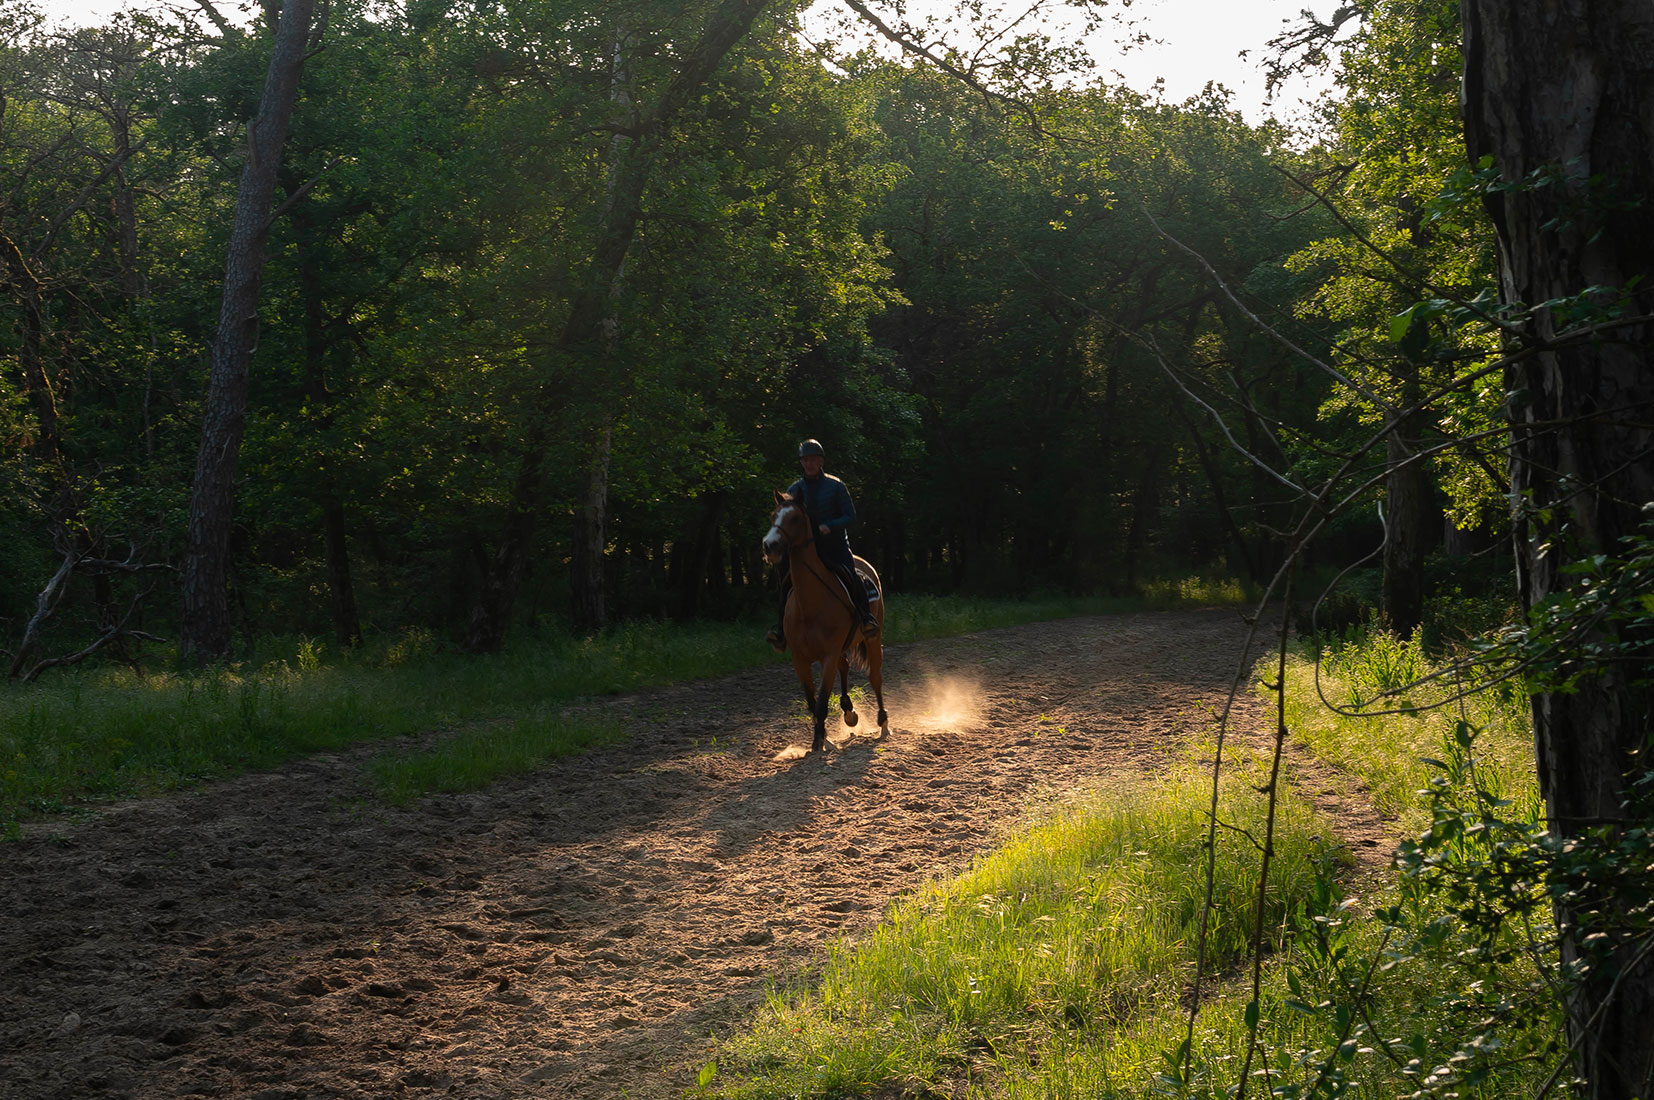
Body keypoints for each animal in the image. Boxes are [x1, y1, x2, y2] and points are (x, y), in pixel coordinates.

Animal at [760, 492, 893, 750]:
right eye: (773, 515)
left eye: (794, 518)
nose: (769, 545)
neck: (810, 607)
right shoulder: (800, 660)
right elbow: (812, 703)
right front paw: (823, 738)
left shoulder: (828, 656)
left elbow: (821, 701)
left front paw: (819, 743)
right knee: (846, 667)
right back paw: (849, 712)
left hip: (873, 638)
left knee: (875, 677)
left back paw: (883, 723)